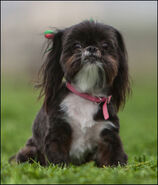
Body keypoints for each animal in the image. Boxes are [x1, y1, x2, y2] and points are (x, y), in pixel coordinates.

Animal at [10, 21, 131, 167]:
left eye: (105, 45)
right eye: (77, 45)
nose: (91, 48)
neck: (86, 94)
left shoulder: (107, 133)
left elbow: (115, 156)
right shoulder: (58, 130)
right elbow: (58, 158)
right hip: (30, 150)